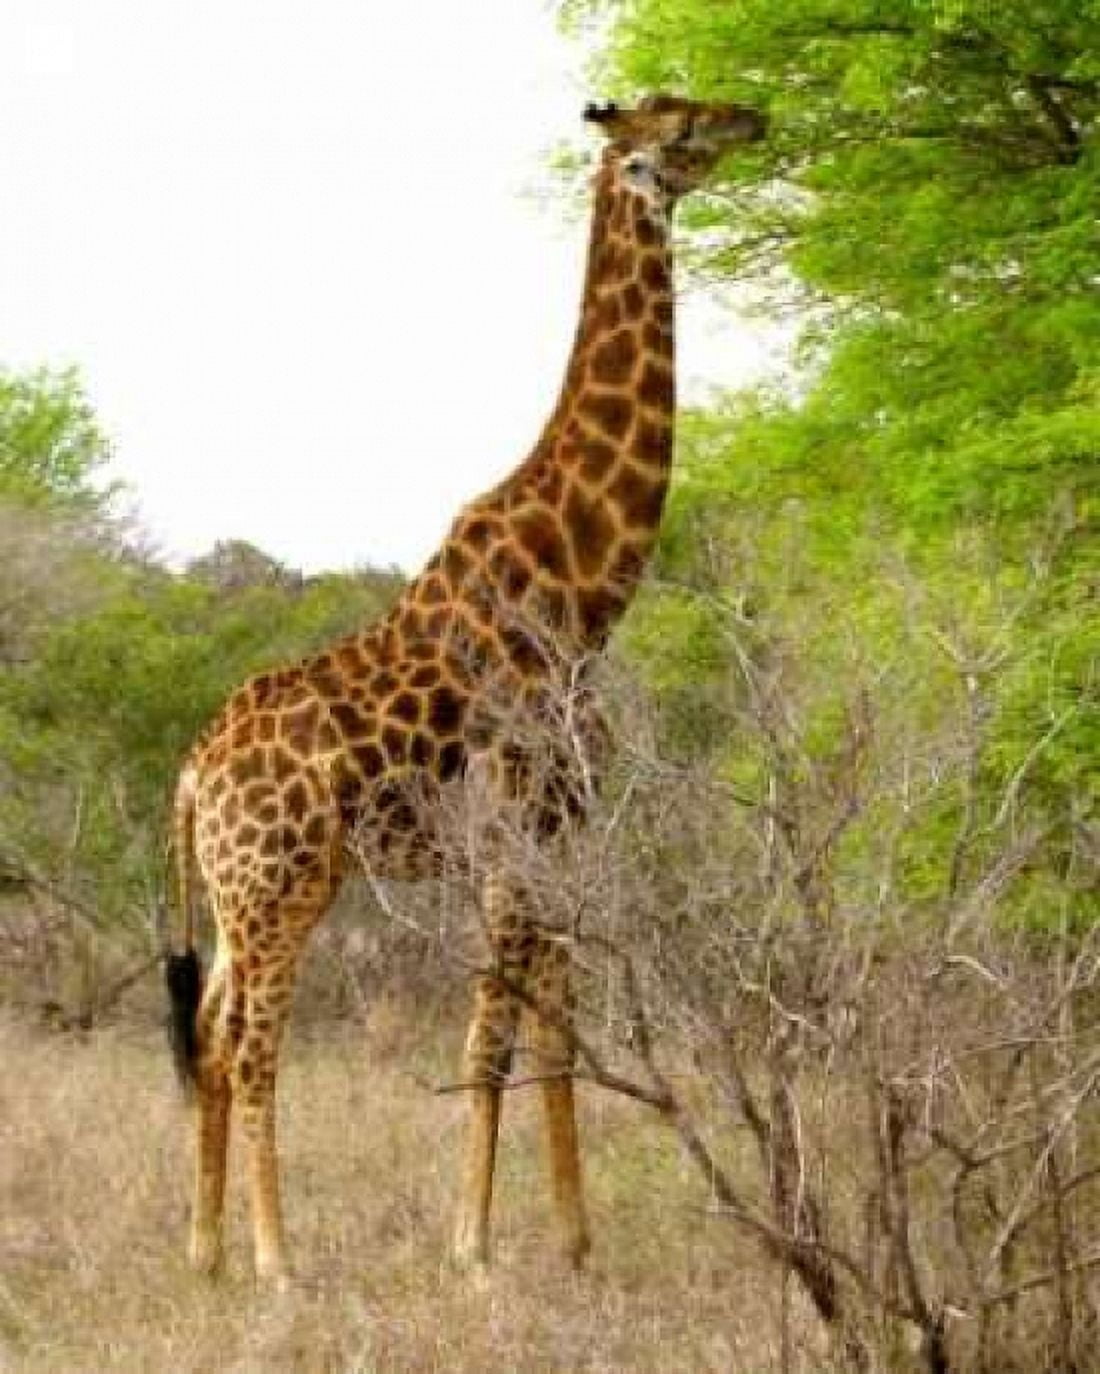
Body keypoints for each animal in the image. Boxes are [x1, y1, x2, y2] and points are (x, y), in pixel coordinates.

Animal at [165, 93, 767, 1285]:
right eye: (681, 127)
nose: (757, 116)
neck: (583, 585)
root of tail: (193, 778)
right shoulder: (507, 830)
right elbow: (488, 1036)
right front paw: (472, 1249)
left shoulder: (562, 835)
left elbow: (557, 1036)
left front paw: (577, 1243)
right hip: (283, 886)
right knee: (252, 1046)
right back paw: (276, 1262)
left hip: (236, 892)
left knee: (209, 1033)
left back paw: (206, 1252)